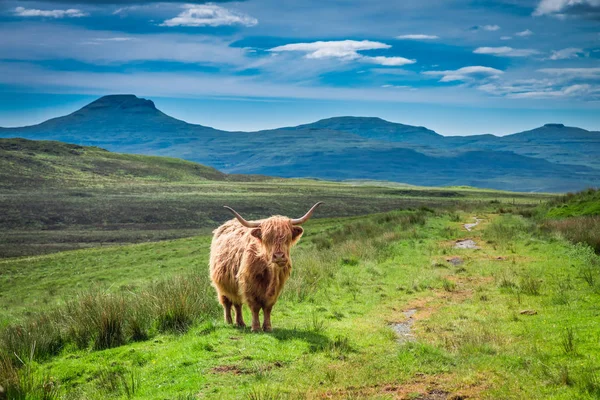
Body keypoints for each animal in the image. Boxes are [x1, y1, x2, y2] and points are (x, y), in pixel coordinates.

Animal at [211, 203, 324, 332]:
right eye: (267, 238)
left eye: (287, 237)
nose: (279, 256)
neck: (270, 272)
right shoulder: (249, 285)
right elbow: (255, 307)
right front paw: (256, 327)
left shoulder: (276, 289)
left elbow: (268, 307)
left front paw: (268, 327)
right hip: (222, 284)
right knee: (227, 302)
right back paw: (229, 322)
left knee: (237, 303)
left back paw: (240, 323)